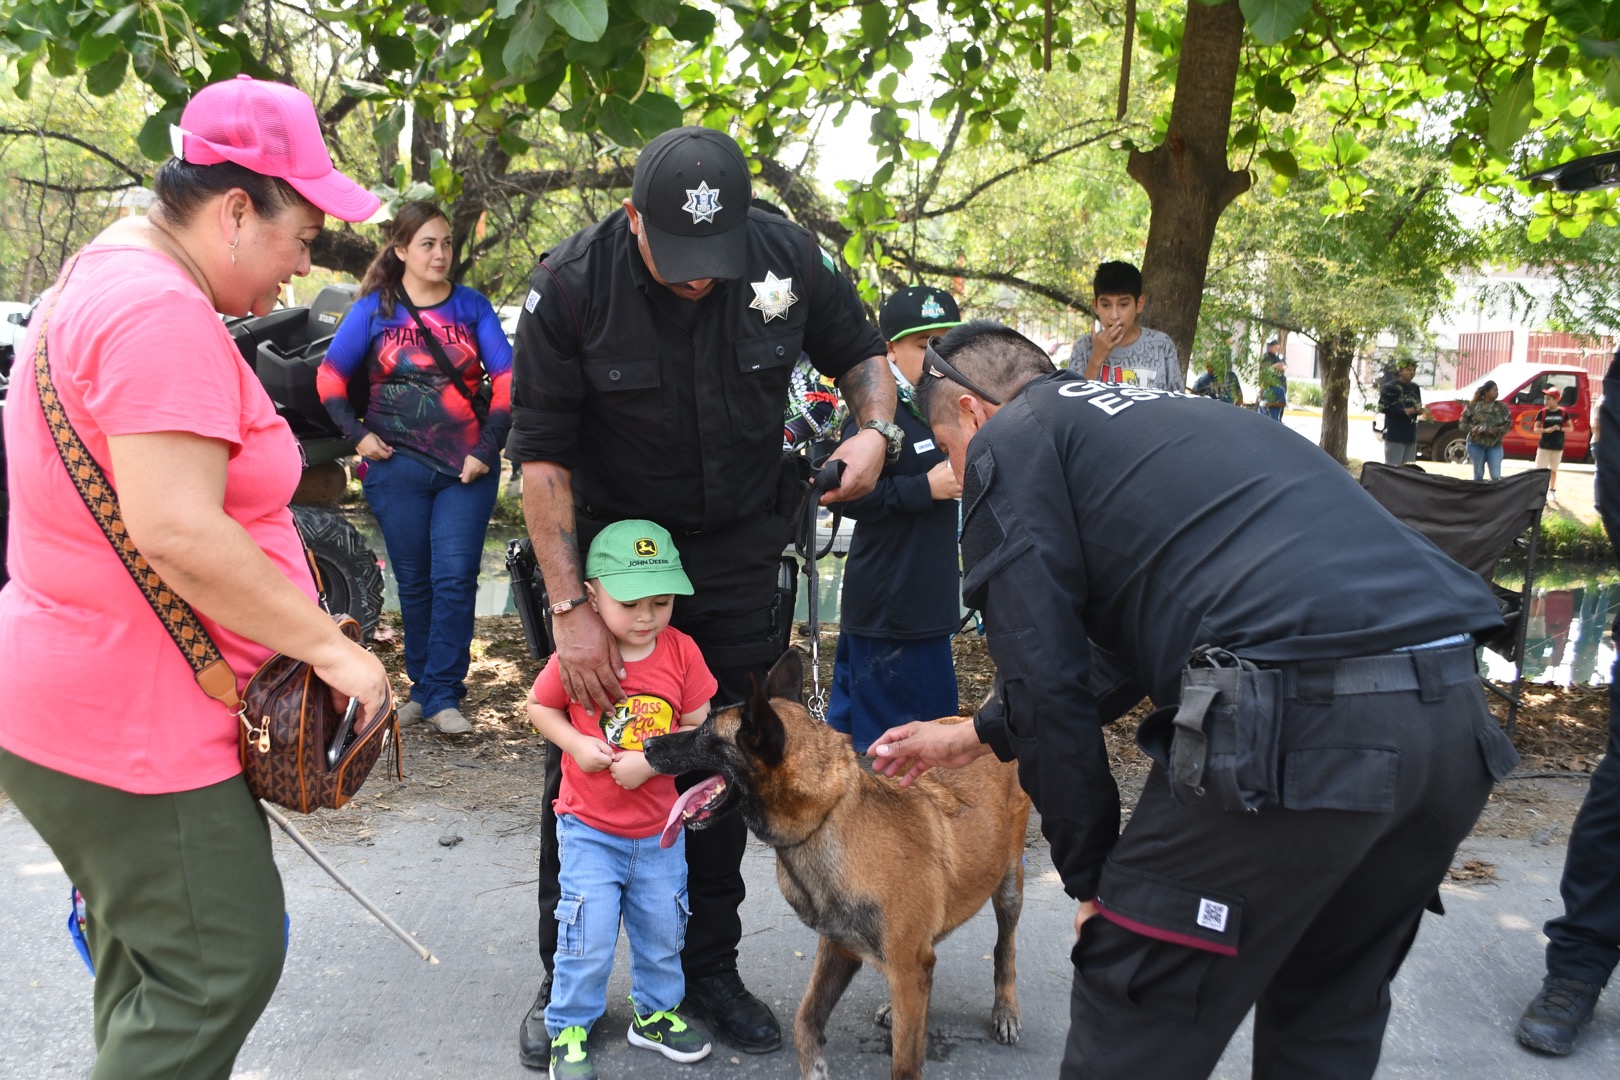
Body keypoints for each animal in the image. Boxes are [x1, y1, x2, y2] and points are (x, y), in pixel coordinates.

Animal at [641, 650, 1030, 1080]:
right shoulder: (840, 948)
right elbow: (805, 1020)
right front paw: (814, 1066)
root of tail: (971, 721)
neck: (827, 818)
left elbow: (904, 1062)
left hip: (1009, 889)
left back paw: (1005, 1010)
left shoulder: (899, 963)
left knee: (1005, 950)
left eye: (706, 735)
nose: (647, 744)